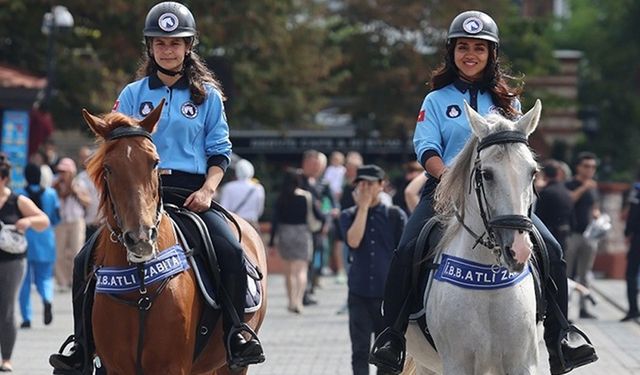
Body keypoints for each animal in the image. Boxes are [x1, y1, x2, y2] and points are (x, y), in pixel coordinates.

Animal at [82, 103, 268, 375]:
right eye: (108, 168)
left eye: (154, 162)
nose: (141, 238)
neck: (140, 286)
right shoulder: (116, 367)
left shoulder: (172, 366)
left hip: (231, 365)